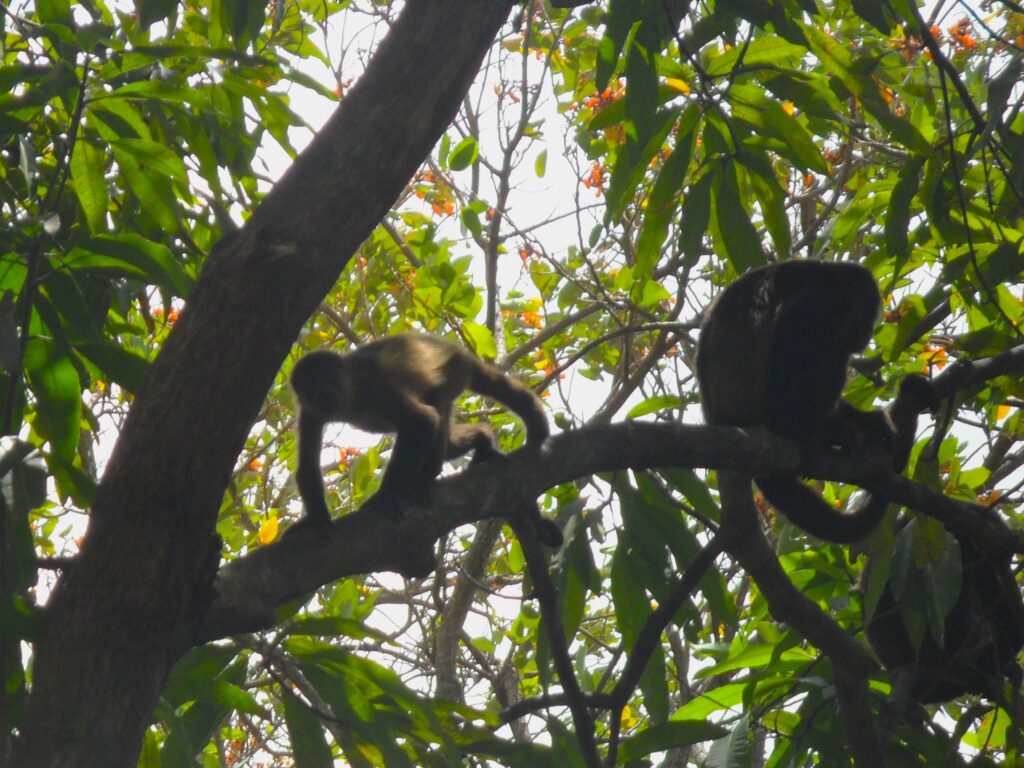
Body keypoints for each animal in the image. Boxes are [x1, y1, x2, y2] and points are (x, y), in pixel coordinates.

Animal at [288, 335, 561, 548]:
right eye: (311, 387)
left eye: (329, 377)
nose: (324, 392)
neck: (349, 400)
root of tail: (460, 353)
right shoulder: (309, 412)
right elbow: (306, 467)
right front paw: (317, 520)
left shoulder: (373, 385)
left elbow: (422, 421)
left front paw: (385, 497)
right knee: (449, 442)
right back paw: (482, 440)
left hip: (451, 374)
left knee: (435, 410)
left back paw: (425, 477)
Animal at [696, 262, 905, 544]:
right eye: (869, 316)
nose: (868, 334)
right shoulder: (820, 303)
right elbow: (789, 338)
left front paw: (870, 422)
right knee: (828, 351)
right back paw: (808, 430)